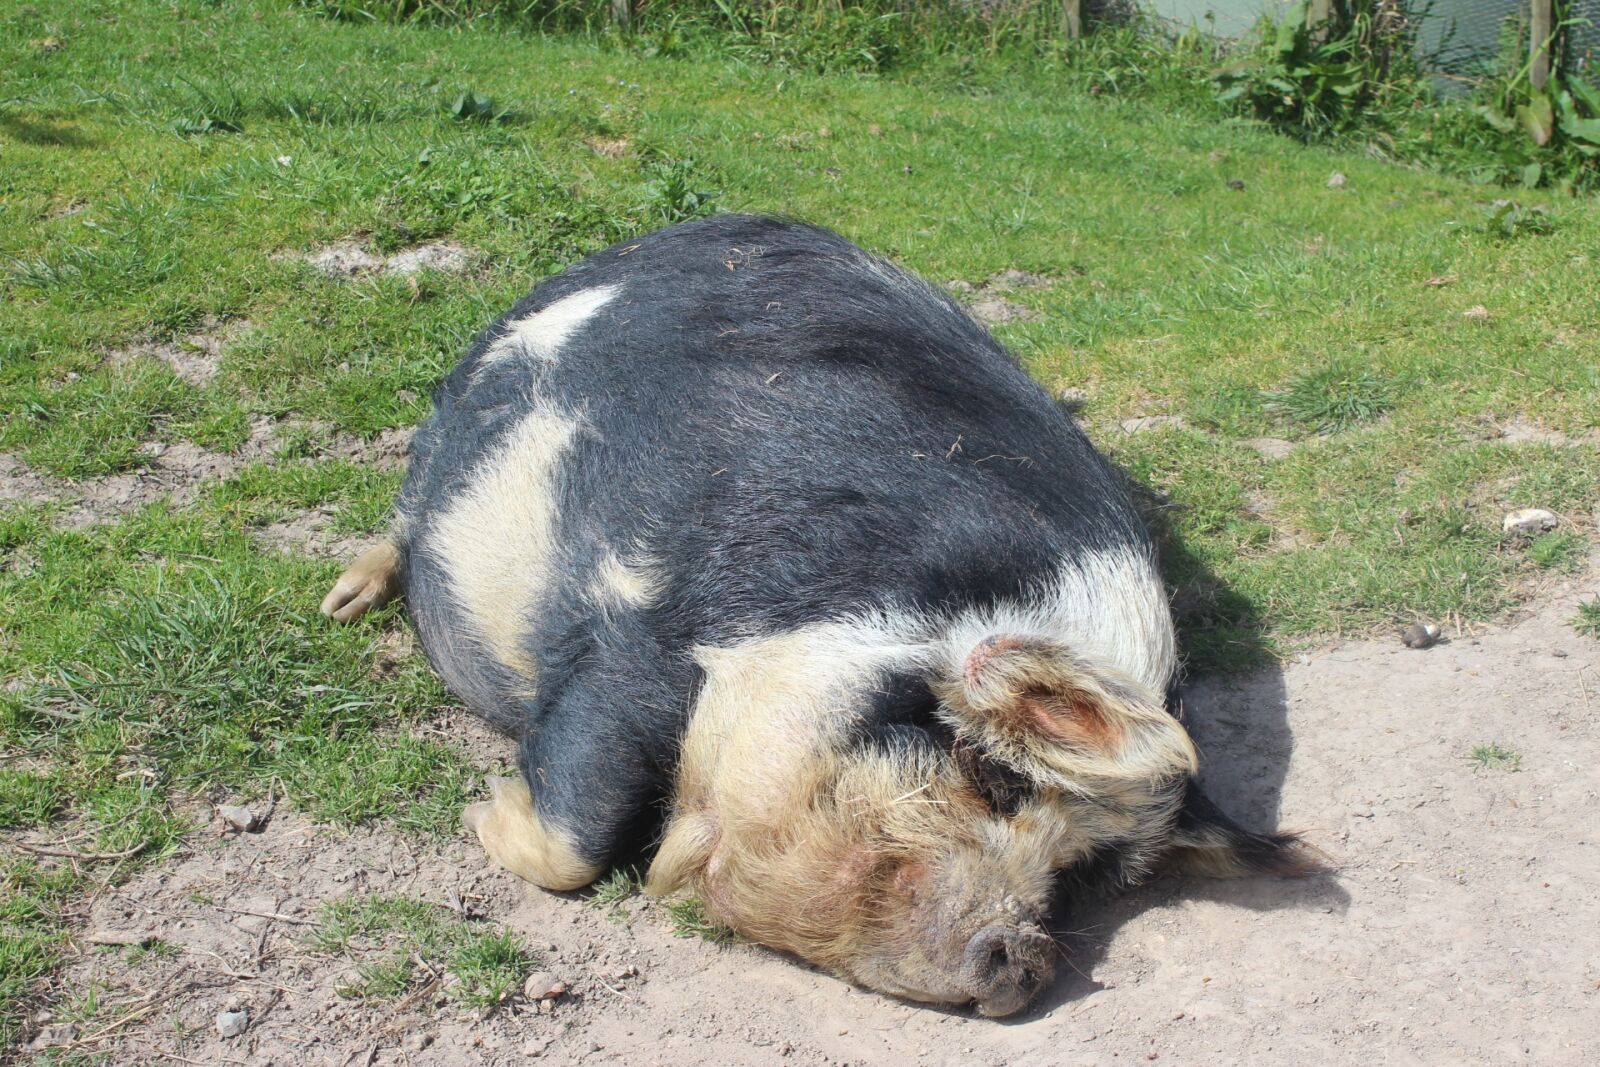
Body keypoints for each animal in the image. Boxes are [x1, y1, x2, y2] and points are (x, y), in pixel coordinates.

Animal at [322, 214, 1312, 1017]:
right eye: (991, 775)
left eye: (1081, 873)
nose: (1020, 958)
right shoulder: (647, 628)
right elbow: (583, 822)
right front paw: (480, 815)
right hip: (442, 437)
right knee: (404, 515)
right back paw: (342, 601)